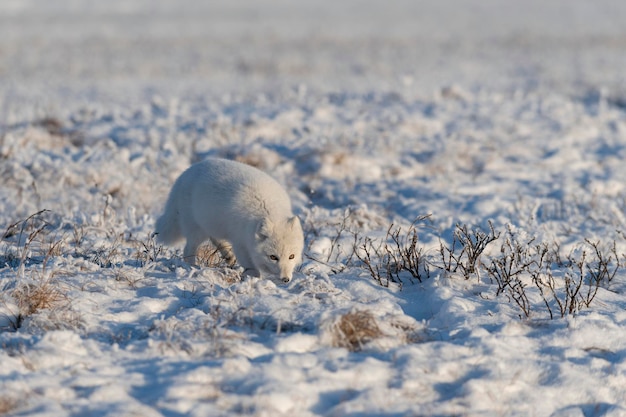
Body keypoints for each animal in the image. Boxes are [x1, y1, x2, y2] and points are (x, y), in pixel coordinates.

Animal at [155, 157, 304, 282]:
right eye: (273, 257)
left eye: (291, 256)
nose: (285, 279)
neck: (266, 208)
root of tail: (186, 172)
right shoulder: (240, 243)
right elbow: (252, 269)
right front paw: (254, 281)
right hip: (196, 230)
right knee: (188, 251)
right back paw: (192, 269)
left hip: (212, 224)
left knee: (214, 238)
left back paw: (228, 255)